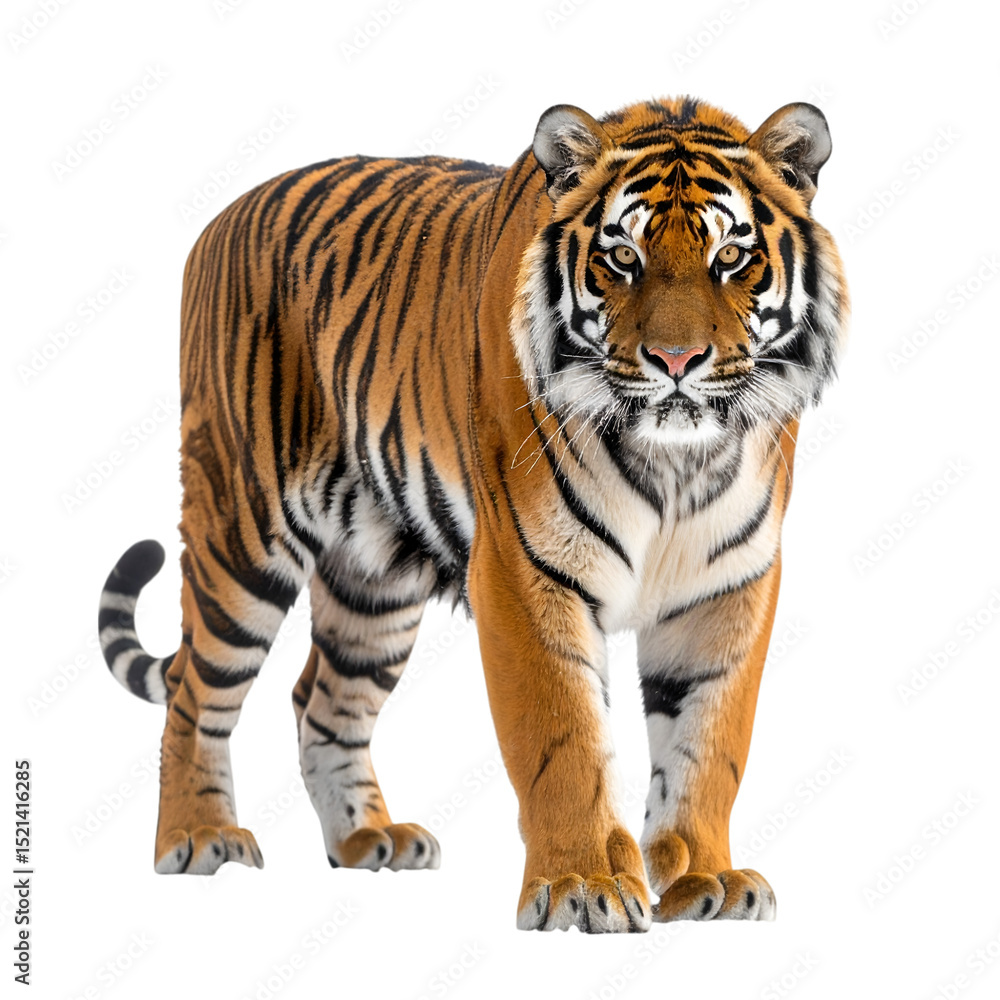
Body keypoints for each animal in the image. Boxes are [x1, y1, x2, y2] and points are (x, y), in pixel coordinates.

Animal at [98, 95, 848, 932]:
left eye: (731, 259)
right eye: (623, 258)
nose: (677, 362)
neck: (675, 462)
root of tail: (217, 221)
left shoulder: (727, 585)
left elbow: (708, 745)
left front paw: (704, 879)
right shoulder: (525, 570)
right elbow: (561, 737)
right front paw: (581, 884)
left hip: (376, 583)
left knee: (322, 700)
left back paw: (367, 839)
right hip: (242, 531)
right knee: (194, 690)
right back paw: (197, 837)